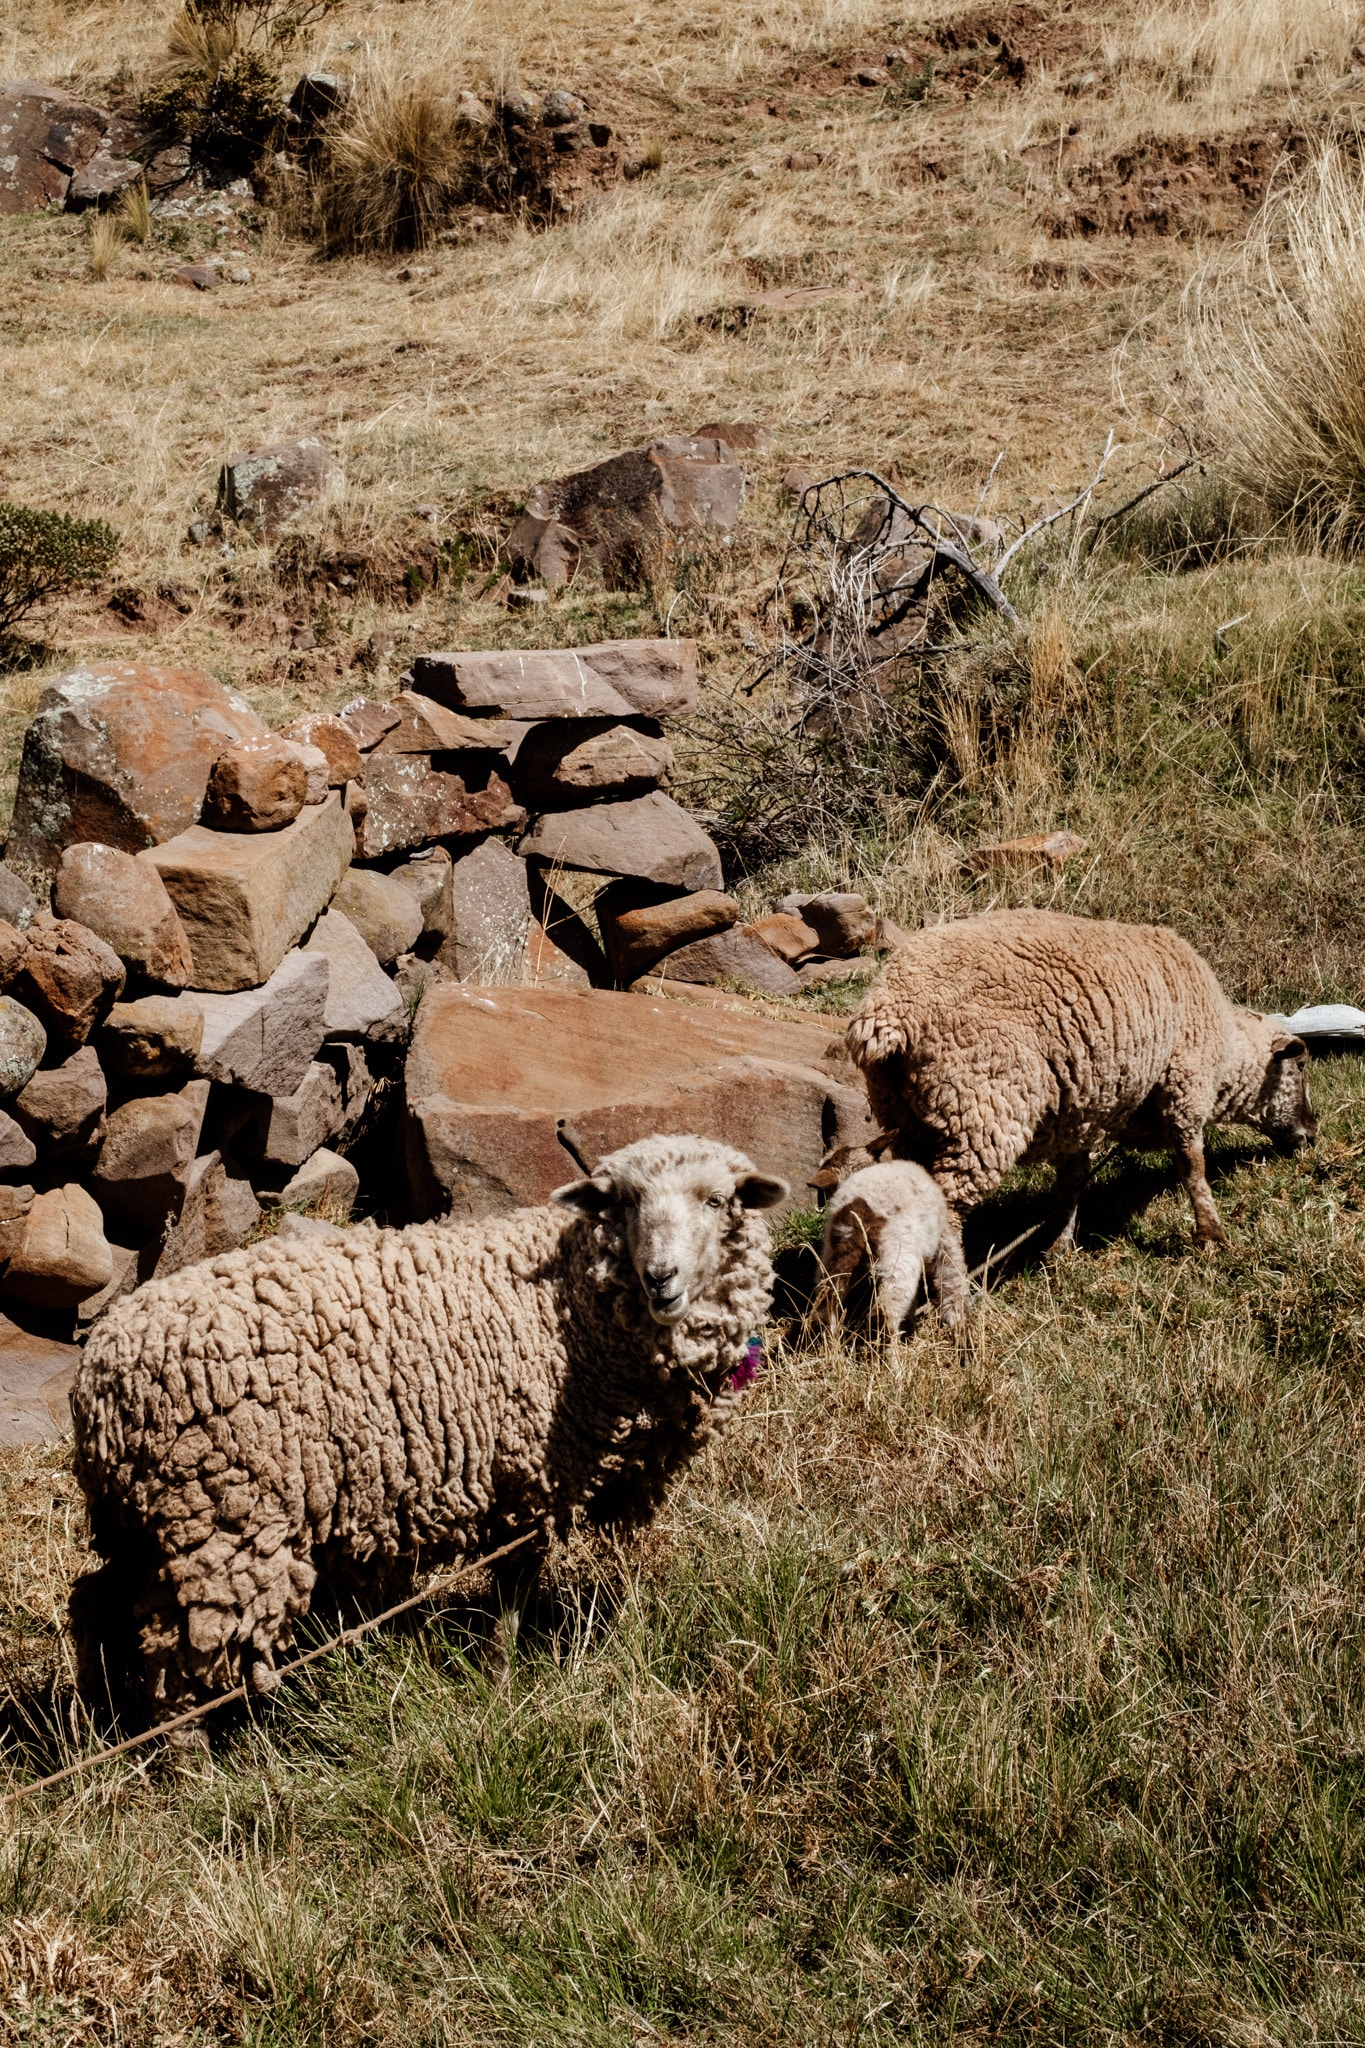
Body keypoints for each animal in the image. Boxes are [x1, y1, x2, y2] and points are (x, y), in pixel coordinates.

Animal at [69, 1134, 788, 1728]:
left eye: (717, 1201)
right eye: (624, 1202)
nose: (661, 1279)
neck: (579, 1304)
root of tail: (98, 1372)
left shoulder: (568, 1480)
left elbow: (566, 1581)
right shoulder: (531, 1475)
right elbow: (511, 1592)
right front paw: (502, 1684)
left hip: (147, 1517)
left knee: (97, 1606)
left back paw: (99, 1727)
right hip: (221, 1520)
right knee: (173, 1653)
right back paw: (190, 1763)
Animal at [817, 1158, 965, 1334]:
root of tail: (858, 1210)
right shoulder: (943, 1240)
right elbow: (953, 1277)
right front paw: (956, 1321)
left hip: (833, 1258)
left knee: (828, 1302)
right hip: (898, 1261)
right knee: (884, 1315)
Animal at [846, 908, 1316, 1273]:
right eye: (1301, 1065)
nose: (1312, 1135)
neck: (1226, 1052)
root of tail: (886, 1013)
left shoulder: (1084, 1111)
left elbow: (1072, 1182)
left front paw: (1059, 1248)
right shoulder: (1184, 1087)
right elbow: (1193, 1167)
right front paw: (1211, 1236)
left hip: (909, 1121)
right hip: (983, 1109)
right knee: (946, 1207)